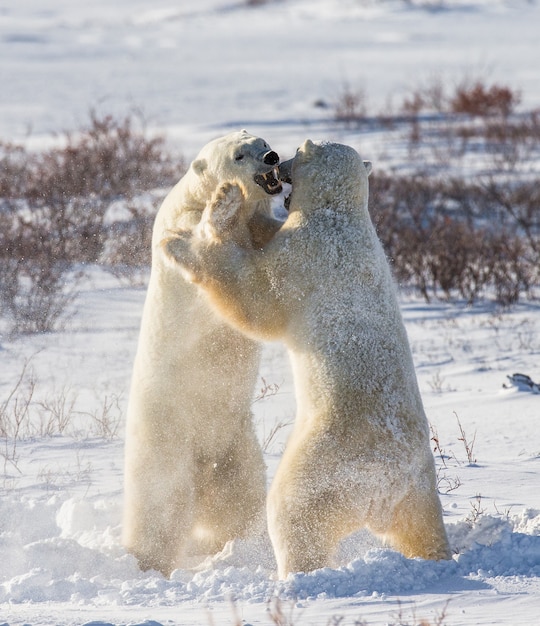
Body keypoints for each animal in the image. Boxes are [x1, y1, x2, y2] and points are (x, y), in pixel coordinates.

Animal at [122, 130, 282, 576]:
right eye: (239, 154)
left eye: (262, 140)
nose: (271, 157)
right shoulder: (181, 227)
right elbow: (206, 257)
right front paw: (225, 198)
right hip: (166, 443)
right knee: (160, 508)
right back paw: (148, 562)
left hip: (234, 446)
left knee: (239, 498)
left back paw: (239, 545)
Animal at [163, 139, 452, 576]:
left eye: (299, 150)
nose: (278, 162)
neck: (339, 214)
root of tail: (387, 486)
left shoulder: (306, 256)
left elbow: (256, 298)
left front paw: (193, 232)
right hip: (419, 489)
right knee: (420, 526)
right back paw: (437, 556)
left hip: (328, 464)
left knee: (295, 511)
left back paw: (296, 573)